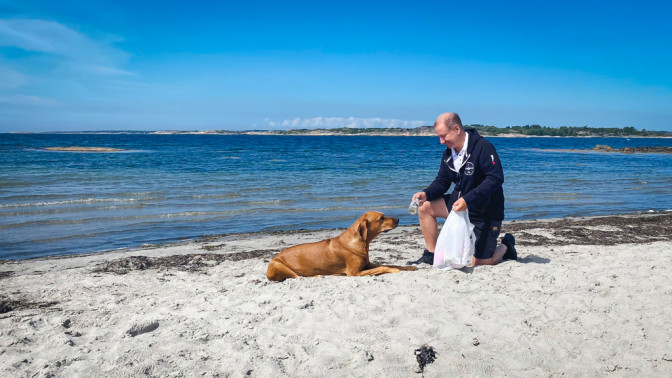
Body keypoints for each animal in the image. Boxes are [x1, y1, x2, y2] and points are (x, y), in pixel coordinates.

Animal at [266, 213, 414, 280]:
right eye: (381, 218)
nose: (398, 219)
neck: (361, 242)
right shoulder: (354, 273)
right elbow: (383, 267)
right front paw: (394, 270)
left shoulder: (367, 264)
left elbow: (390, 264)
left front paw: (409, 267)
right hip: (278, 264)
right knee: (298, 277)